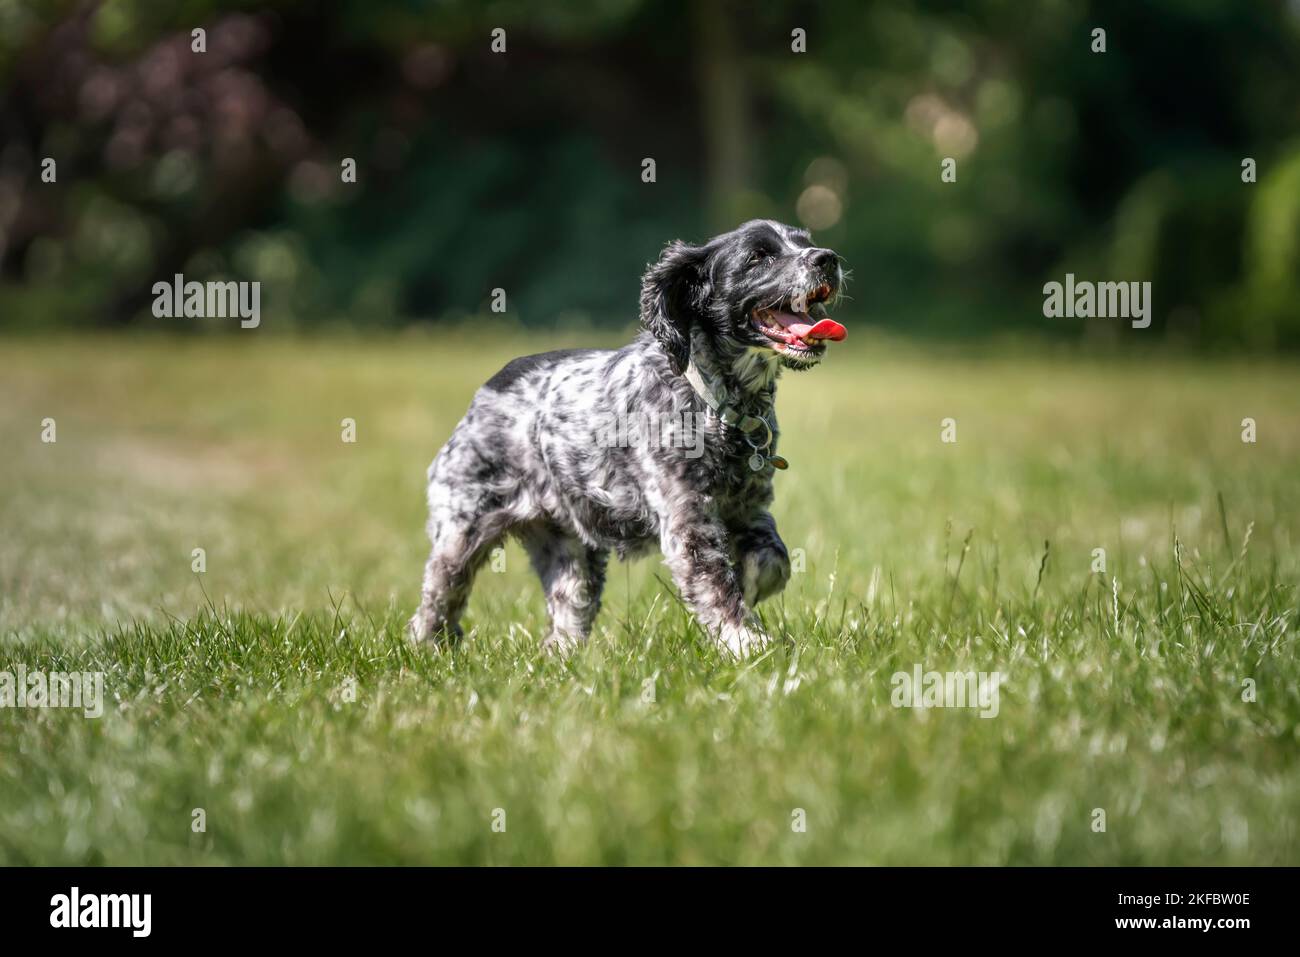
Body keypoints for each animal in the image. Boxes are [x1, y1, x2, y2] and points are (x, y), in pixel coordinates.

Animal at [410, 219, 847, 655]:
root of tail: (487, 389)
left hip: (570, 551)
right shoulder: (688, 520)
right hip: (462, 531)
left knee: (567, 611)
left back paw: (562, 654)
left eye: (804, 243)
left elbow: (773, 561)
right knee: (436, 601)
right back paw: (427, 647)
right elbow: (715, 586)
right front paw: (743, 641)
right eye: (758, 256)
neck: (717, 403)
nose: (827, 259)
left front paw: (749, 595)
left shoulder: (749, 508)